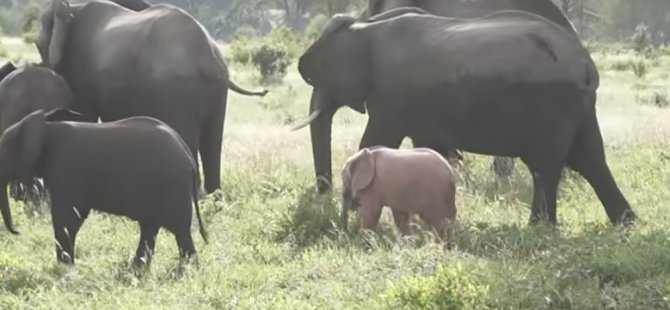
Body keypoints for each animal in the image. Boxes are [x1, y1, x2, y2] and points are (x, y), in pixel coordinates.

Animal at [0, 109, 207, 266]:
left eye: (5, 154)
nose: (18, 231)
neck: (46, 128)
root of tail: (189, 157)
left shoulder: (69, 171)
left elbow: (67, 218)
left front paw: (65, 268)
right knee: (151, 227)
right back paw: (138, 270)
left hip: (173, 187)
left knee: (180, 231)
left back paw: (185, 271)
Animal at [37, 0, 270, 194]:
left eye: (38, 45)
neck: (72, 9)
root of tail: (209, 58)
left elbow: (84, 118)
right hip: (215, 92)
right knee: (212, 142)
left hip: (178, 91)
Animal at [292, 9, 636, 225]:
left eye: (316, 77)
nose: (324, 198)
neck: (363, 28)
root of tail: (586, 64)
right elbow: (429, 147)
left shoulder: (391, 98)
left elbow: (376, 139)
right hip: (579, 106)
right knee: (591, 160)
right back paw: (626, 223)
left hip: (552, 103)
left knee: (546, 167)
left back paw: (539, 228)